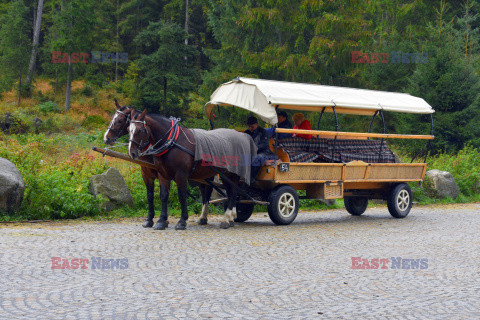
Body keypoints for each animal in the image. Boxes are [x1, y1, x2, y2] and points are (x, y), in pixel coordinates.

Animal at [103, 100, 219, 228]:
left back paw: (206, 217)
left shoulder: (171, 174)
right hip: (202, 176)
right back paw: (203, 217)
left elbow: (171, 195)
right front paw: (152, 219)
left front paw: (170, 220)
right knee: (204, 191)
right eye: (128, 129)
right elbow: (152, 195)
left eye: (119, 120)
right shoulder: (147, 174)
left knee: (208, 192)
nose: (106, 138)